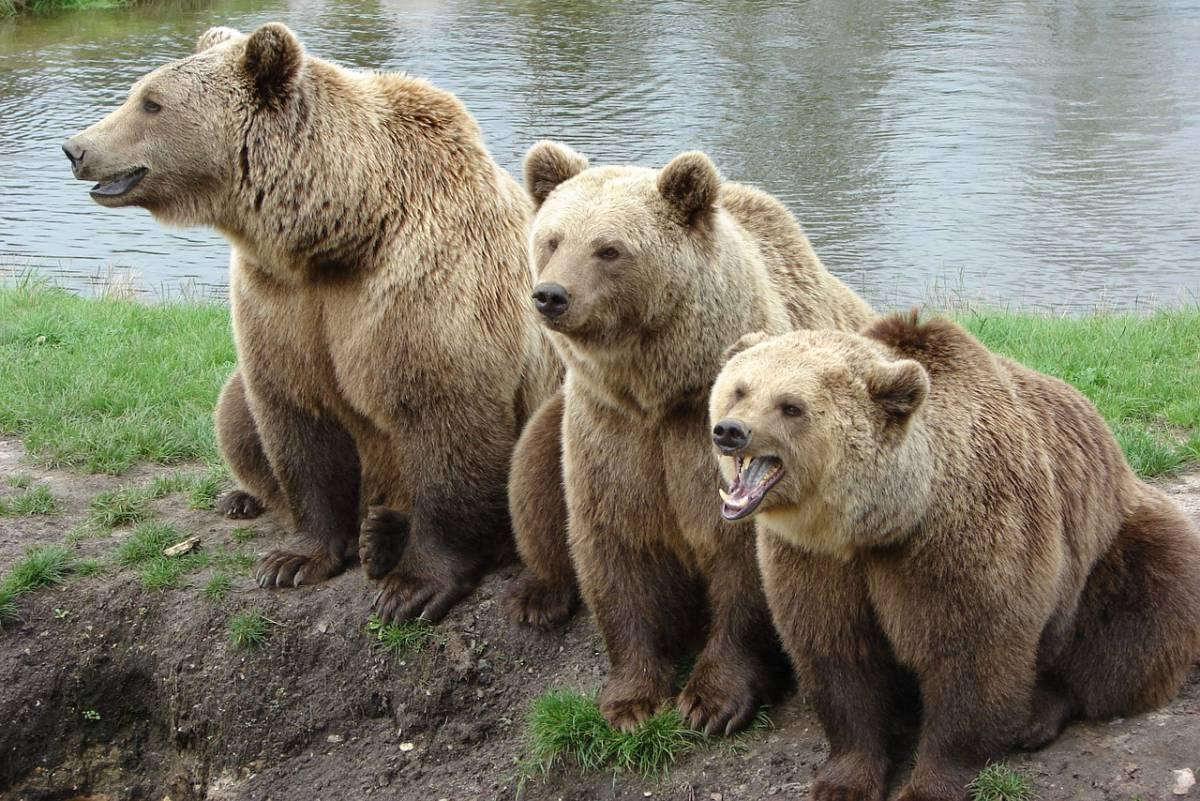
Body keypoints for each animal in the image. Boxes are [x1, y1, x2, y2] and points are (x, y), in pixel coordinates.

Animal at [68, 21, 564, 623]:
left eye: (151, 102)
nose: (76, 148)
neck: (341, 233)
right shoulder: (282, 301)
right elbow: (295, 417)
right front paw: (294, 560)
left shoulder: (425, 288)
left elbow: (443, 418)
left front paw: (413, 587)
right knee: (234, 408)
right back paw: (255, 500)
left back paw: (385, 535)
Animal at [506, 140, 873, 733]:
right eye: (552, 239)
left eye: (609, 249)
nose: (551, 295)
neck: (659, 391)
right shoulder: (612, 430)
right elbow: (617, 546)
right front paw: (631, 699)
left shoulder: (706, 441)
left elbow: (743, 564)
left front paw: (711, 700)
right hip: (555, 415)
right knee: (532, 471)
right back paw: (536, 595)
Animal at [705, 314, 1200, 801]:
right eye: (740, 389)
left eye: (791, 406)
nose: (730, 430)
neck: (878, 523)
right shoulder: (816, 560)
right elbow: (839, 655)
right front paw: (843, 782)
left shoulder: (964, 535)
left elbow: (971, 656)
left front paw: (929, 784)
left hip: (1111, 545)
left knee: (1138, 618)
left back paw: (1037, 714)